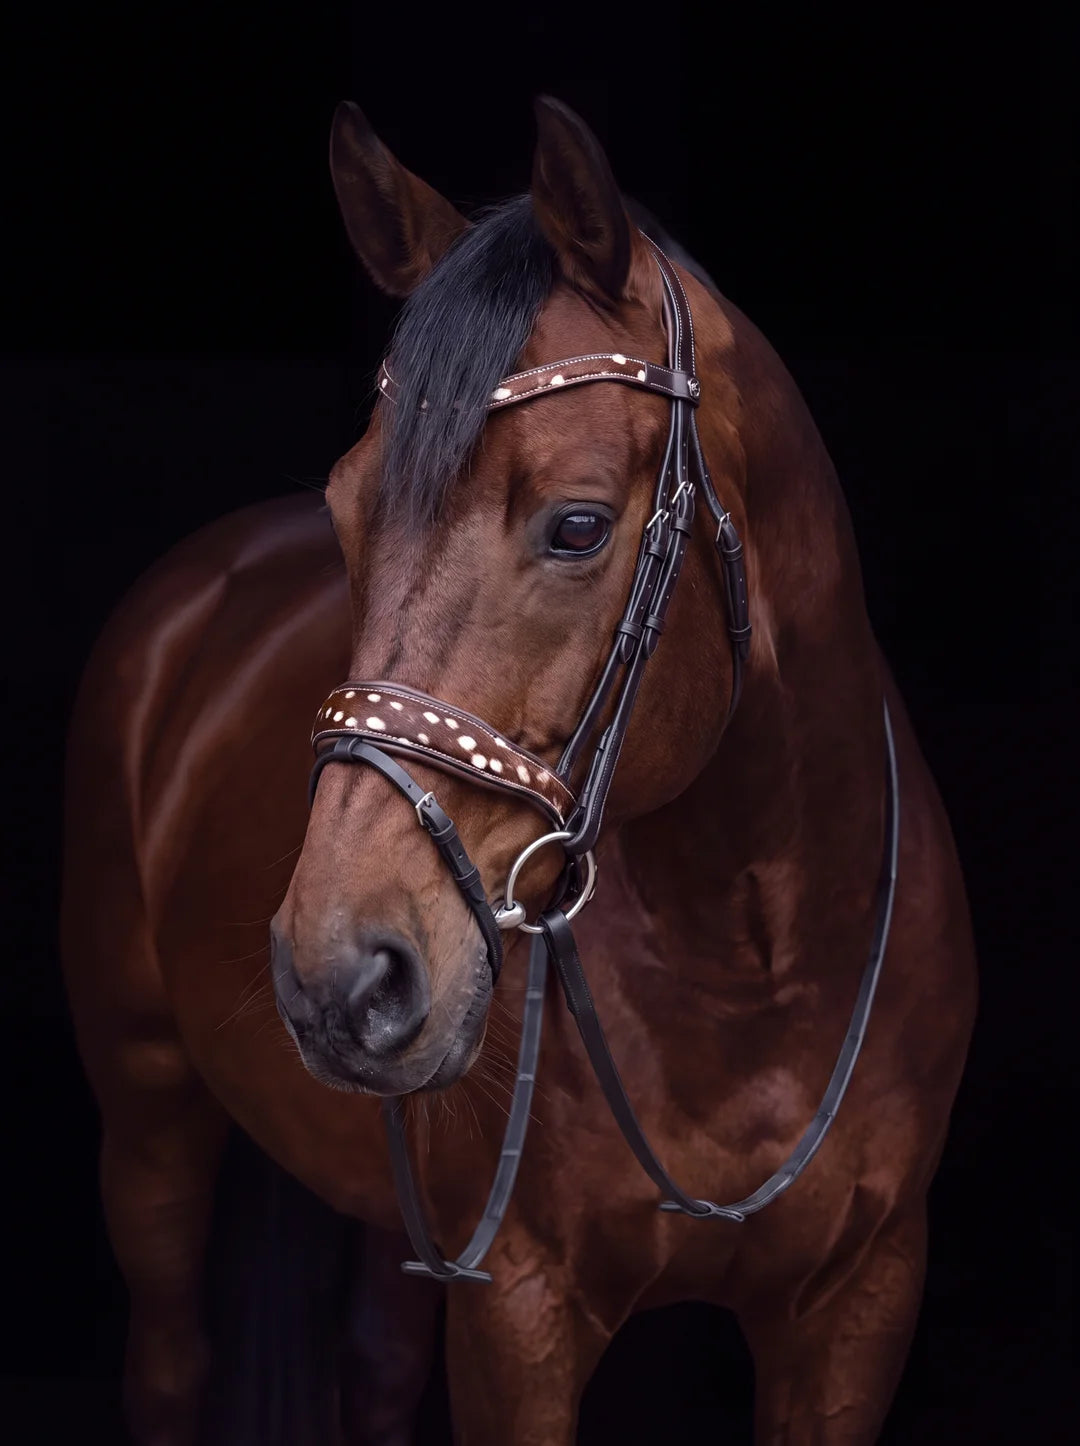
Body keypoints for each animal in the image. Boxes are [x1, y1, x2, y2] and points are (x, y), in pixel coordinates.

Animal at [62, 96, 976, 1445]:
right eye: (345, 511)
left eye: (580, 524)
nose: (339, 973)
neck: (752, 963)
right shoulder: (518, 1315)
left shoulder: (860, 1306)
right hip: (149, 1113)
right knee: (169, 1365)